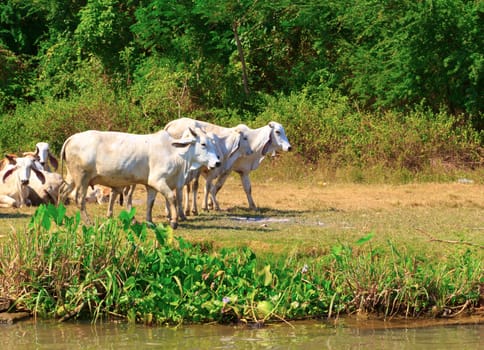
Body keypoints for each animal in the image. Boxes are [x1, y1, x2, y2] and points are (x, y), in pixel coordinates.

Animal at [57, 127, 221, 228]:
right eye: (203, 144)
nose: (218, 162)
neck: (177, 155)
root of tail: (72, 138)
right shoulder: (158, 181)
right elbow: (172, 198)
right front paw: (174, 222)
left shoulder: (151, 185)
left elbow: (150, 203)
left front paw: (150, 222)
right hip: (82, 179)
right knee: (79, 199)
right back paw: (88, 222)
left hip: (72, 177)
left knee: (62, 192)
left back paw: (57, 215)